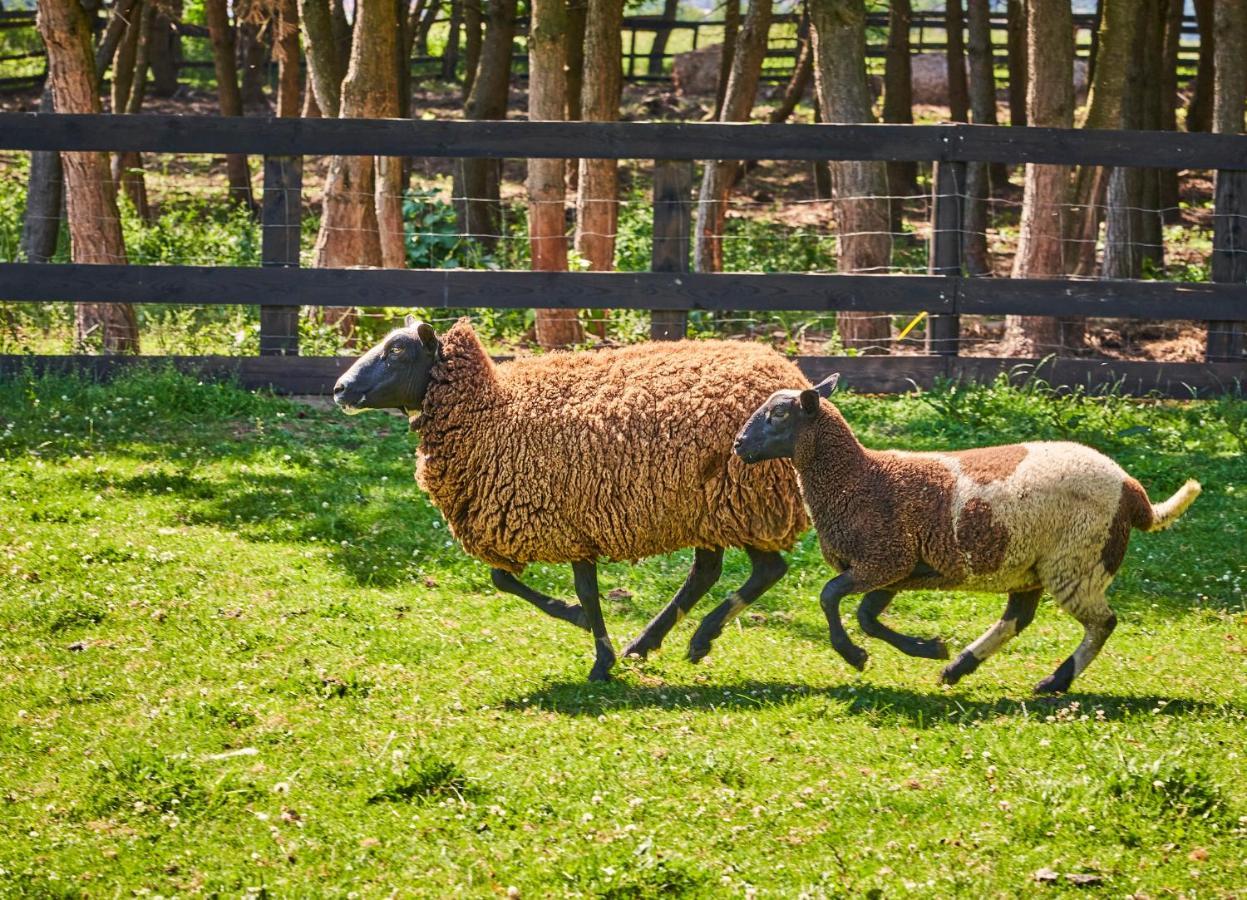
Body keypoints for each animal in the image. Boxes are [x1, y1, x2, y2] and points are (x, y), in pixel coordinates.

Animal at [334, 319, 808, 678]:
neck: (491, 411)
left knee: (768, 569)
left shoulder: (567, 518)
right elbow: (504, 579)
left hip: (747, 499)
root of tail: (789, 373)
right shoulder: (557, 520)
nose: (339, 389)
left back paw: (700, 638)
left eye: (397, 351)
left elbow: (582, 592)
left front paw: (599, 657)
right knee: (708, 571)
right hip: (706, 508)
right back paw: (645, 644)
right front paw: (594, 639)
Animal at [728, 373, 1202, 693]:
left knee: (1103, 623)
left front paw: (855, 656)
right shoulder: (896, 568)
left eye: (778, 414)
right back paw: (958, 667)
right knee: (1018, 619)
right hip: (1030, 565)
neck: (858, 476)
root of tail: (1133, 492)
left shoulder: (884, 558)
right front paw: (929, 649)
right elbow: (866, 616)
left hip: (1078, 560)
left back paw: (1054, 682)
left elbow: (830, 598)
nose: (737, 445)